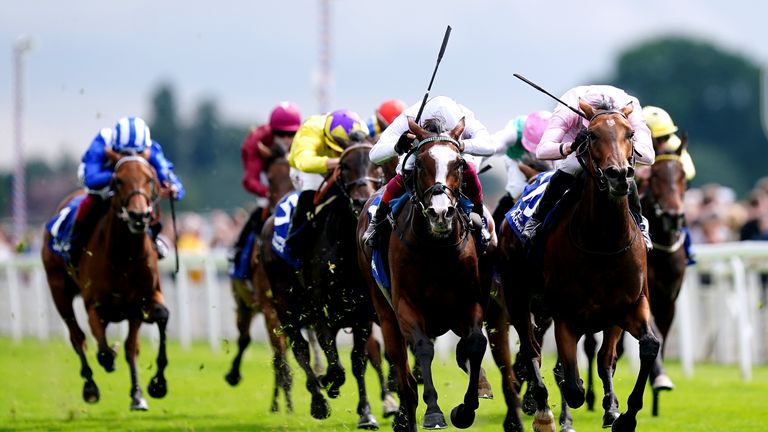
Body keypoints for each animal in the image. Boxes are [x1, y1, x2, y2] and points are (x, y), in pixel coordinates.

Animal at [40, 156, 170, 412]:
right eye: (118, 181)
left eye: (150, 179)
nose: (138, 215)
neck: (124, 256)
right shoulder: (95, 306)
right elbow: (102, 349)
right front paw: (110, 358)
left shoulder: (140, 303)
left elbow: (138, 341)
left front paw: (149, 389)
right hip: (58, 288)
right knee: (77, 337)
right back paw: (90, 385)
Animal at [262, 143, 390, 428]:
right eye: (344, 167)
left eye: (375, 166)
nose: (361, 200)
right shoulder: (319, 310)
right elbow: (334, 362)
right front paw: (328, 383)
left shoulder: (361, 314)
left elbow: (358, 361)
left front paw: (366, 413)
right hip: (286, 309)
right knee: (300, 350)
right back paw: (318, 401)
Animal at [358, 118, 486, 432]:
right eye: (419, 164)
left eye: (459, 163)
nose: (440, 213)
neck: (437, 250)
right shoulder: (406, 306)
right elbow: (423, 349)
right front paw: (434, 412)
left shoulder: (470, 301)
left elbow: (476, 343)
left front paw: (464, 410)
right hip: (386, 314)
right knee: (404, 378)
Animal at [498, 101, 660, 432]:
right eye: (591, 135)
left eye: (630, 133)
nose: (619, 175)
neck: (603, 244)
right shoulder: (565, 314)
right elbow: (571, 383)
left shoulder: (628, 306)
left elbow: (641, 349)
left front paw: (621, 413)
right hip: (517, 298)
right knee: (531, 351)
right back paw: (542, 410)